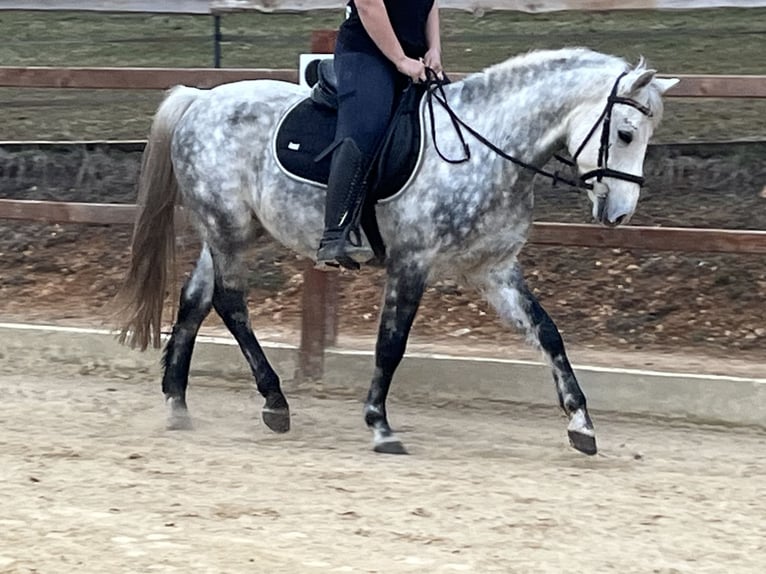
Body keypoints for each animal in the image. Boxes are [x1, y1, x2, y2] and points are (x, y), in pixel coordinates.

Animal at [118, 47, 680, 456]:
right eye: (625, 133)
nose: (620, 213)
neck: (487, 148)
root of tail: (201, 99)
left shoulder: (494, 269)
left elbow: (547, 333)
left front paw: (582, 424)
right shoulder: (413, 262)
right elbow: (392, 344)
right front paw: (380, 425)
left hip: (233, 234)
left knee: (196, 299)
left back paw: (177, 402)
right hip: (228, 229)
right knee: (231, 303)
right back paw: (274, 402)